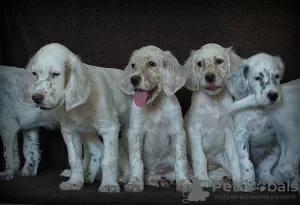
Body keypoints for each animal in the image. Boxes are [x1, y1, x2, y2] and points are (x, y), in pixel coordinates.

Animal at [26, 43, 132, 192]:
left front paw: (109, 184)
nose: (36, 98)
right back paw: (88, 176)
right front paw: (75, 182)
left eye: (55, 74)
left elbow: (109, 159)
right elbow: (75, 159)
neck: (79, 107)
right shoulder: (70, 131)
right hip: (87, 132)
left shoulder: (109, 128)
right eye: (34, 74)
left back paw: (126, 177)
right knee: (95, 151)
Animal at [118, 44, 191, 192]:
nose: (133, 79)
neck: (155, 105)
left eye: (152, 64)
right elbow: (136, 160)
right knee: (134, 172)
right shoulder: (135, 132)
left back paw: (164, 180)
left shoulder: (178, 133)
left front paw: (183, 182)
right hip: (121, 146)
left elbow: (180, 161)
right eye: (133, 65)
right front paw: (135, 182)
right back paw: (126, 180)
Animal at [183, 43, 244, 187]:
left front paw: (239, 180)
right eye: (200, 64)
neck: (214, 102)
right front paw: (202, 179)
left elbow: (234, 159)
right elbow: (200, 157)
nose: (209, 77)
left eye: (219, 61)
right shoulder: (195, 130)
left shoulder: (230, 132)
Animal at [227, 52, 286, 191]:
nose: (273, 96)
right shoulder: (241, 135)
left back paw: (270, 179)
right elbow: (246, 162)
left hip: (274, 150)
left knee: (264, 168)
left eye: (277, 76)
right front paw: (248, 183)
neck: (260, 109)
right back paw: (239, 182)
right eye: (258, 78)